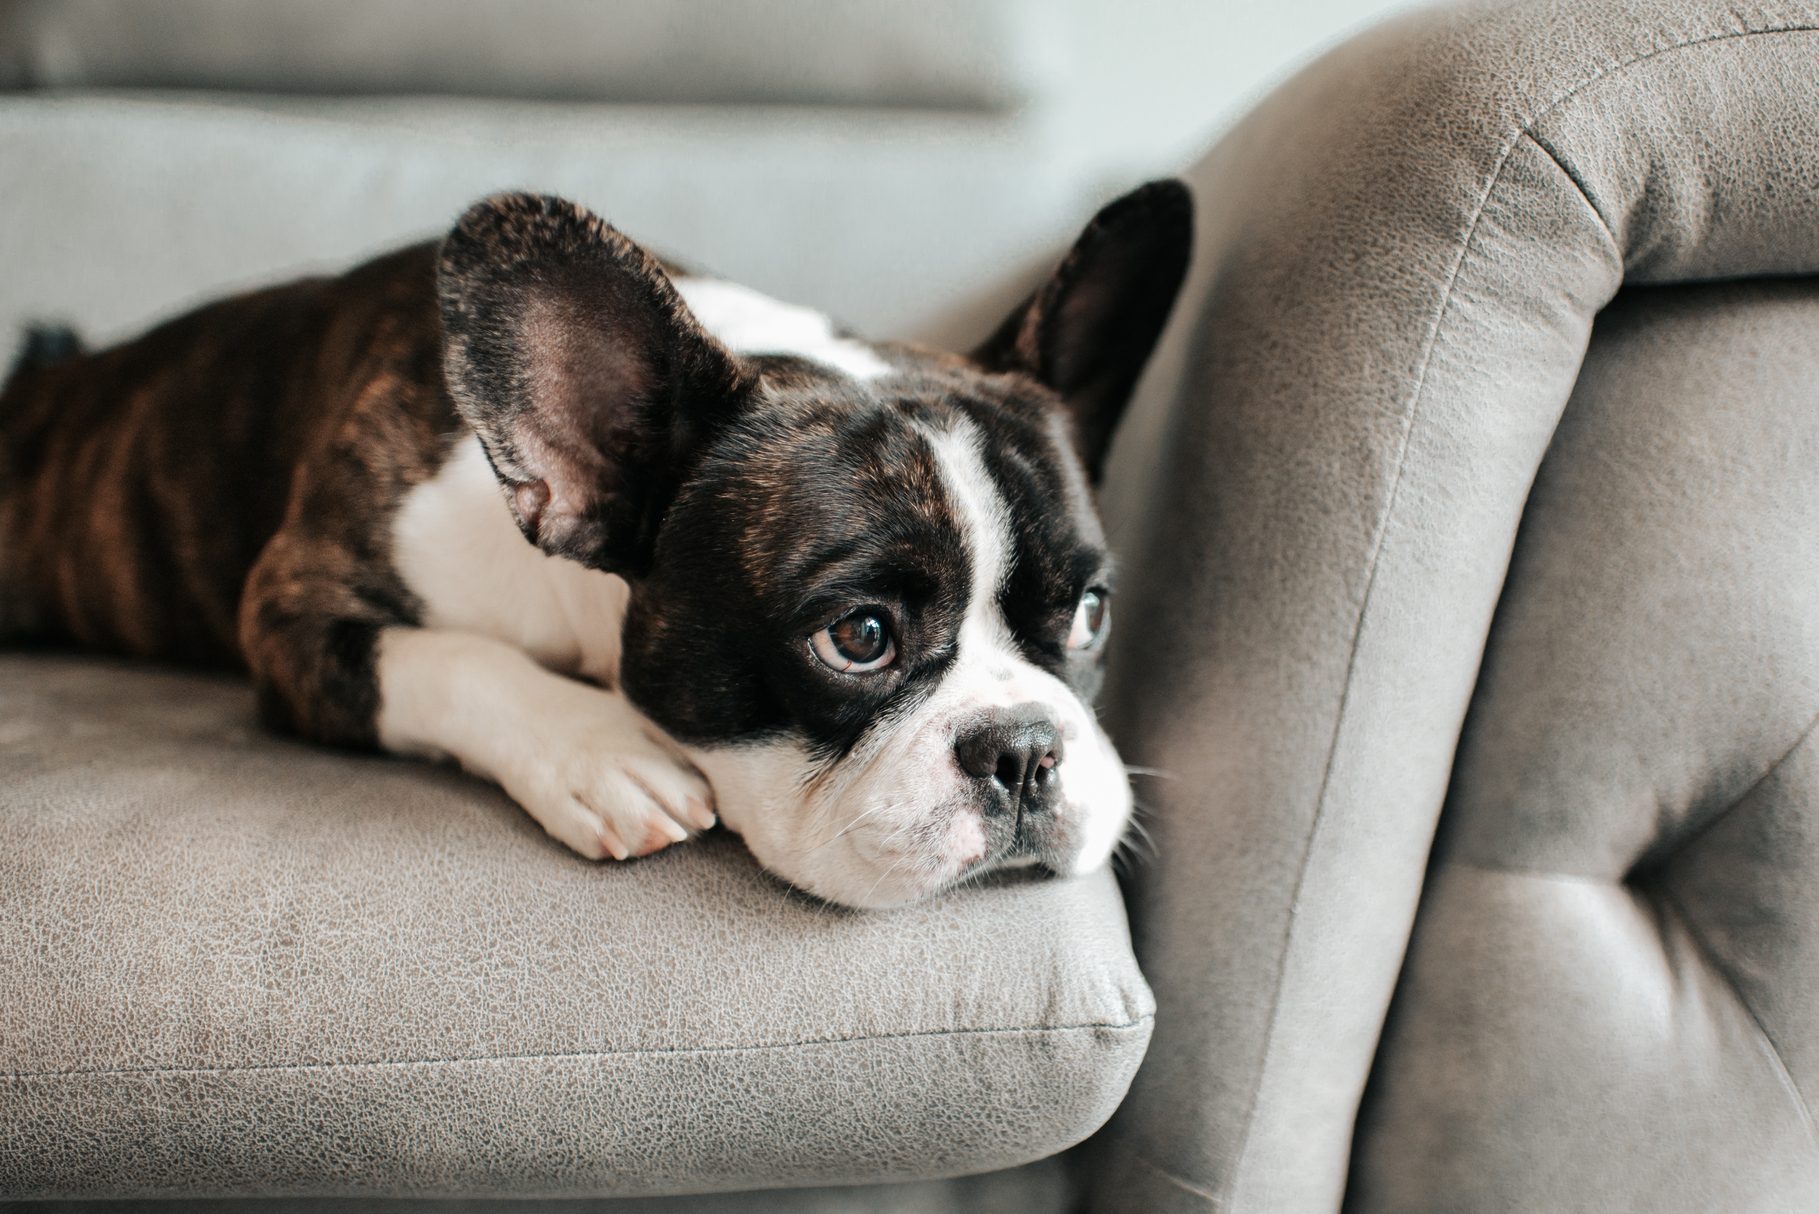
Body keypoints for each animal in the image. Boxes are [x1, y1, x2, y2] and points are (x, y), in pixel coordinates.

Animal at [0, 178, 1193, 902]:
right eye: (859, 637)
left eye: (1090, 614)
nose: (1026, 748)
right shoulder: (294, 609)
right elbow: (450, 658)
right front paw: (598, 751)